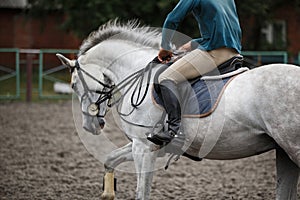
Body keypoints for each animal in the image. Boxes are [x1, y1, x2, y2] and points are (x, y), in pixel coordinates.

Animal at [55, 21, 298, 199]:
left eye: (74, 84)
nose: (90, 126)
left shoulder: (143, 147)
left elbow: (141, 193)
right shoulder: (145, 145)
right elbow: (109, 159)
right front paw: (107, 193)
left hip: (293, 148)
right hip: (283, 152)